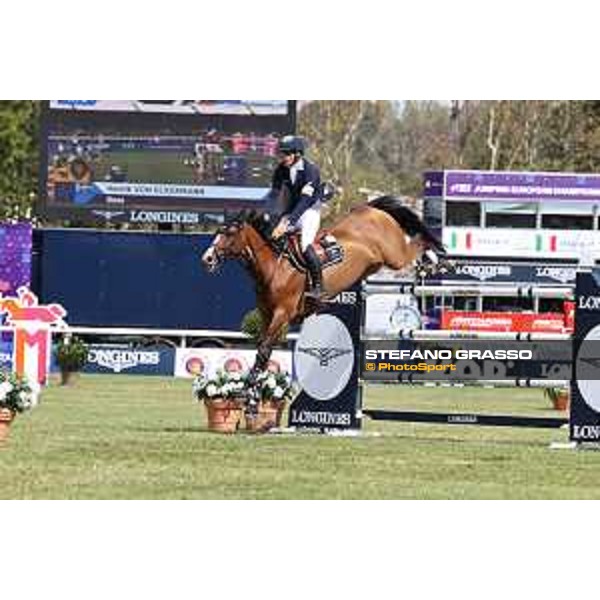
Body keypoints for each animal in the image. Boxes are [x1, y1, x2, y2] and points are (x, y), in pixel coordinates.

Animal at [202, 197, 446, 412]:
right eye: (218, 232)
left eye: (230, 233)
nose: (207, 259)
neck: (275, 266)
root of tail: (370, 209)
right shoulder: (266, 315)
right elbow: (263, 352)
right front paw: (252, 401)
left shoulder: (282, 314)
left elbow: (263, 351)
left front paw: (248, 394)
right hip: (376, 263)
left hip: (394, 256)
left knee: (415, 243)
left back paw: (435, 260)